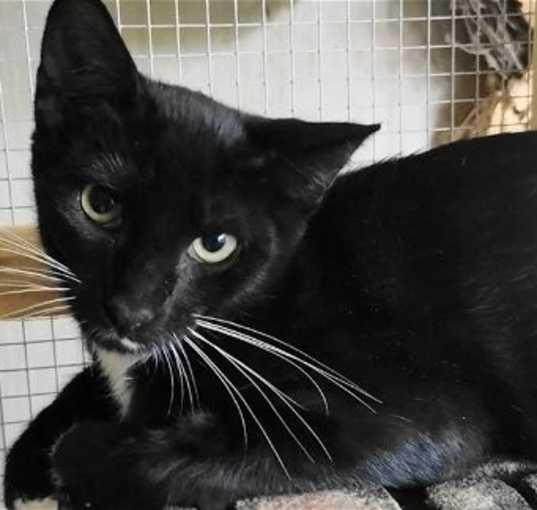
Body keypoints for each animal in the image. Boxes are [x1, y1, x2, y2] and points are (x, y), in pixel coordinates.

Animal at [4, 0, 536, 508]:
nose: (132, 311)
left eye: (215, 245)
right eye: (99, 204)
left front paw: (77, 451)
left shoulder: (415, 411)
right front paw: (29, 457)